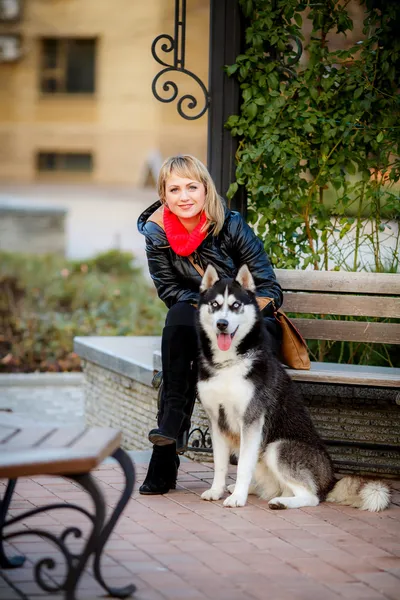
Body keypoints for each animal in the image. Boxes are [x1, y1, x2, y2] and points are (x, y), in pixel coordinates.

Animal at [197, 262, 390, 510]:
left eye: (235, 305)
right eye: (215, 304)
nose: (222, 324)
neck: (230, 363)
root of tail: (331, 479)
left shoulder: (251, 421)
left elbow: (242, 468)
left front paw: (238, 498)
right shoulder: (216, 420)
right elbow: (220, 465)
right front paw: (216, 490)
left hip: (276, 447)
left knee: (312, 497)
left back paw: (280, 502)